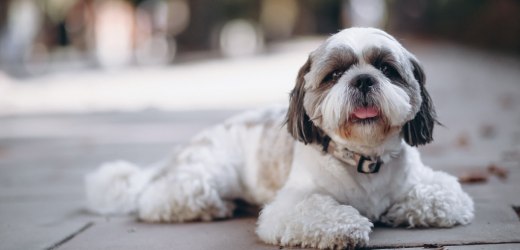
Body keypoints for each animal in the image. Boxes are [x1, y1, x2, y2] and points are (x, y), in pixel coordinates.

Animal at [86, 26, 476, 249]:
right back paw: (215, 206)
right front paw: (349, 225)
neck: (364, 160)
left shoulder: (431, 185)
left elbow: (442, 198)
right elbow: (323, 212)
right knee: (158, 198)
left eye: (386, 69)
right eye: (334, 75)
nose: (363, 79)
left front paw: (398, 210)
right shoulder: (292, 205)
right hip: (207, 176)